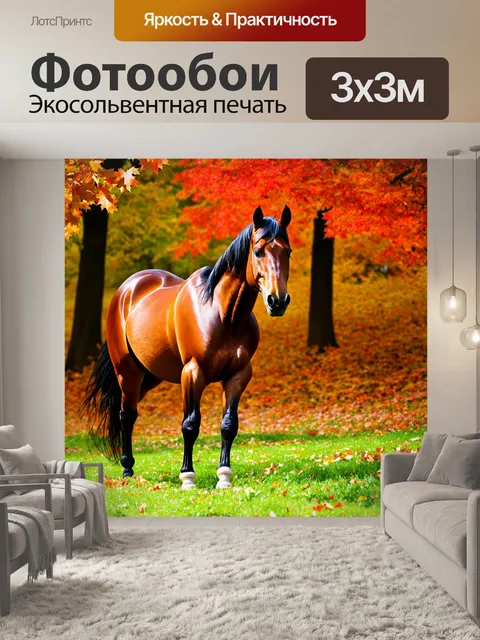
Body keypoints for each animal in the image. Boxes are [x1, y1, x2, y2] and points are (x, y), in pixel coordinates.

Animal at [82, 205, 292, 489]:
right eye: (258, 251)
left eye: (287, 251)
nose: (277, 301)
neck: (223, 314)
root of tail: (126, 290)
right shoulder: (192, 373)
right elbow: (190, 425)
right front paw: (187, 477)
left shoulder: (238, 375)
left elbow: (229, 424)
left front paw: (224, 476)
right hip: (128, 373)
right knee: (126, 415)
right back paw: (127, 469)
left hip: (150, 376)